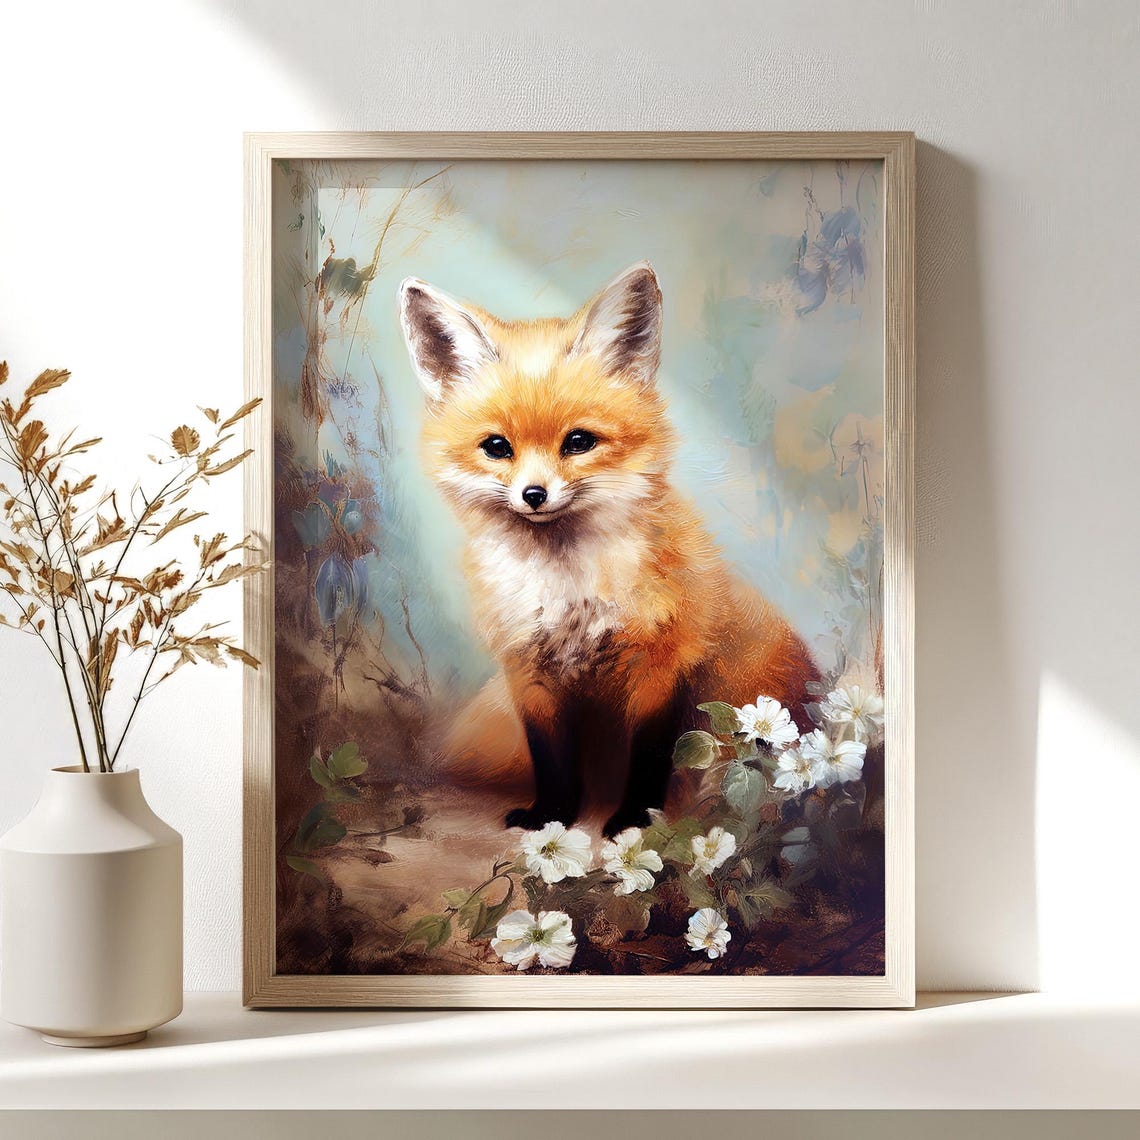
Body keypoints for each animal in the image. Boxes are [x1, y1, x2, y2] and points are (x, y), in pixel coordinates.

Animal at [398, 262, 819, 837]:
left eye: (579, 442)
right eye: (496, 447)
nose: (534, 495)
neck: (568, 592)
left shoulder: (660, 666)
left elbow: (649, 756)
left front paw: (634, 821)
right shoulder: (529, 673)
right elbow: (550, 759)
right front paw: (551, 817)